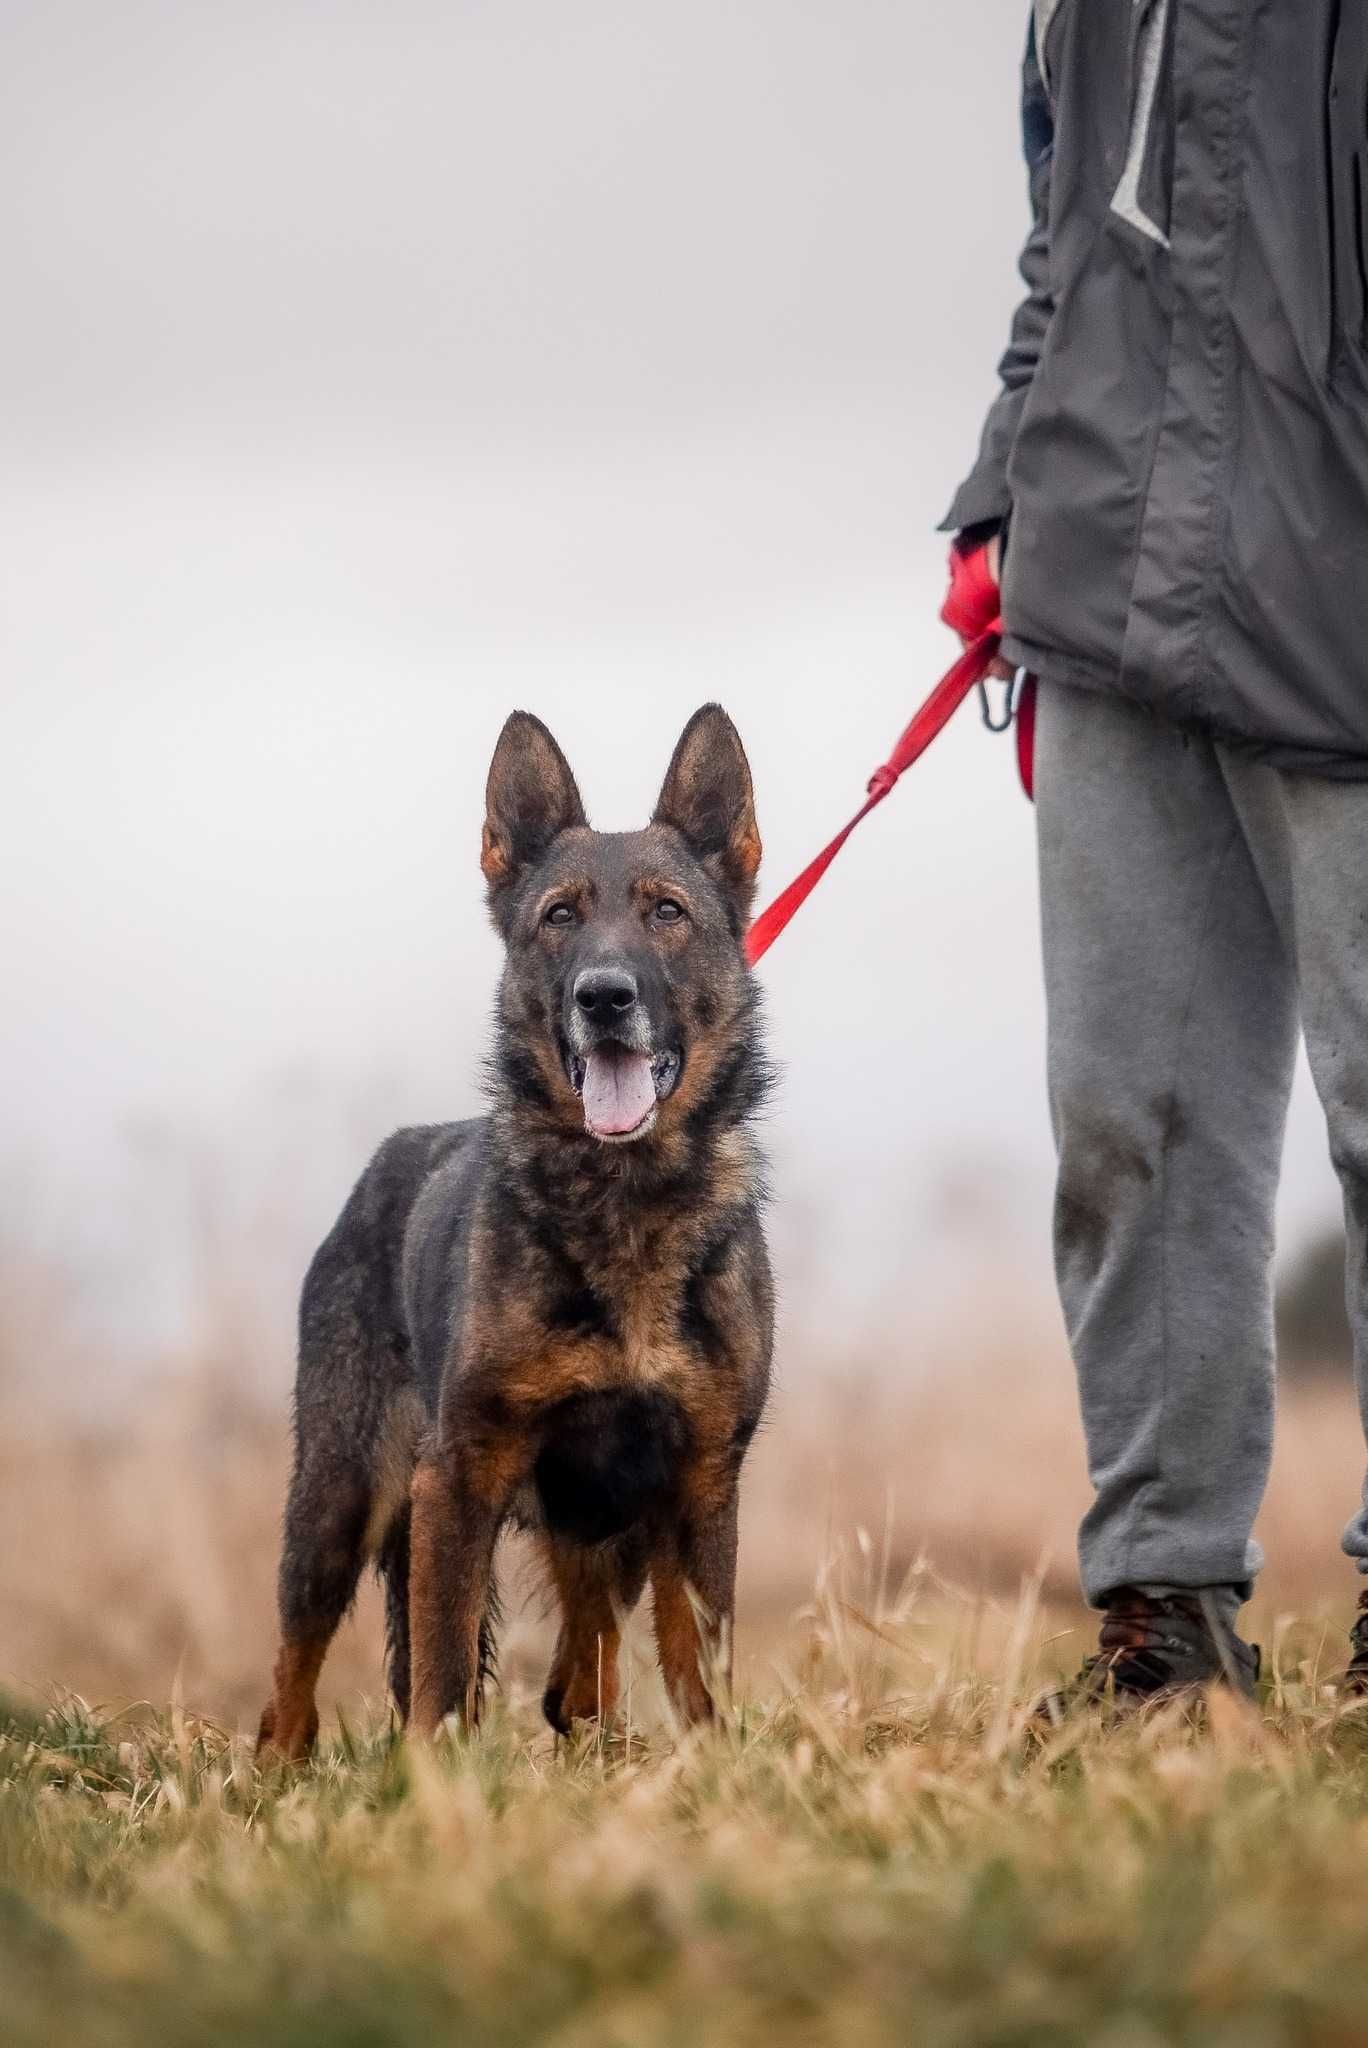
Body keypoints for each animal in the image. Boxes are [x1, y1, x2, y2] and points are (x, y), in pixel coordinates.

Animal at [255, 708, 770, 1761]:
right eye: (559, 918)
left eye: (667, 912)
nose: (604, 997)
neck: (625, 1202)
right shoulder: (458, 1478)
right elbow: (443, 1670)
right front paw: (434, 1781)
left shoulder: (700, 1487)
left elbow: (700, 1667)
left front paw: (710, 1771)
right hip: (338, 1499)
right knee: (292, 1671)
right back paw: (274, 1772)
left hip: (600, 1522)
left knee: (583, 1670)